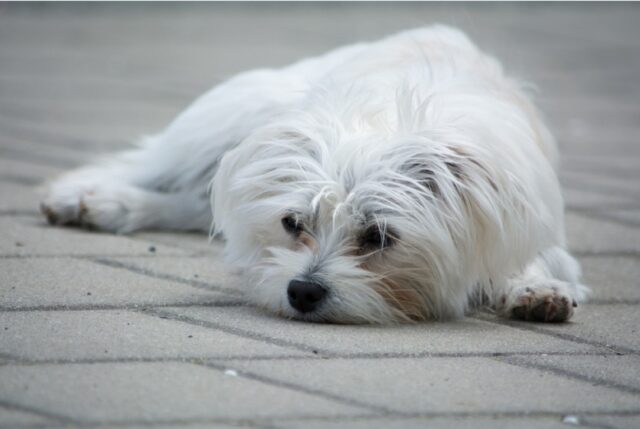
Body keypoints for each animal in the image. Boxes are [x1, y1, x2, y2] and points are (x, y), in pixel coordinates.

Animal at [40, 25, 592, 322]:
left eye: (379, 237)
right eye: (292, 224)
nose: (302, 293)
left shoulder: (529, 220)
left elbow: (534, 258)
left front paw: (536, 289)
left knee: (197, 205)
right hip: (227, 120)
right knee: (151, 166)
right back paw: (91, 197)